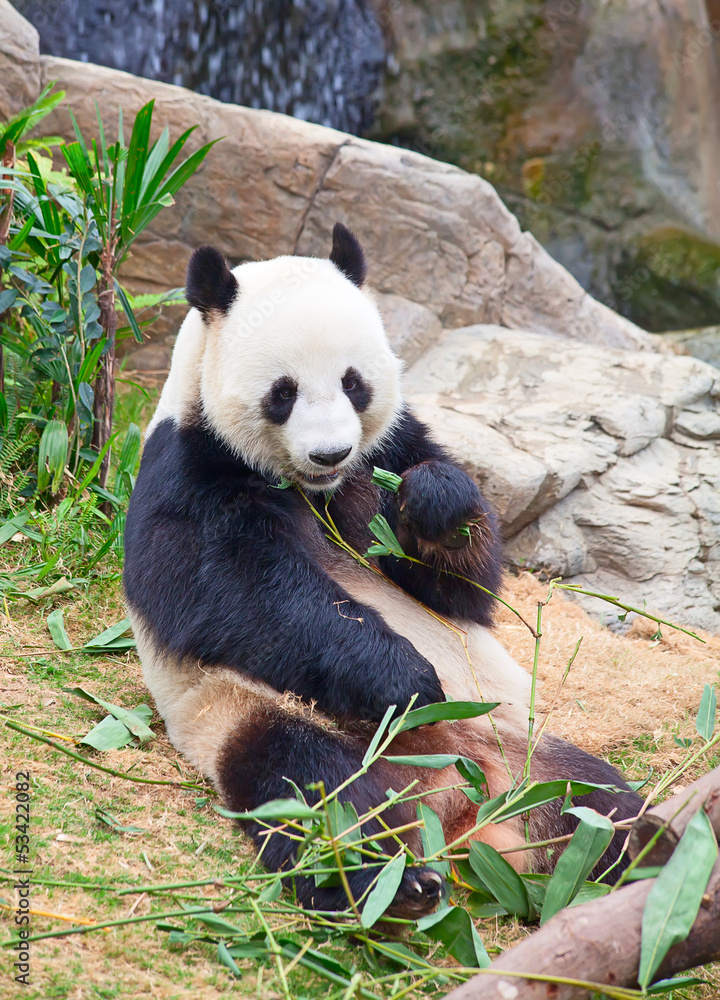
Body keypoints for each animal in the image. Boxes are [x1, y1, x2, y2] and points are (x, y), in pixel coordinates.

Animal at [124, 223, 641, 919]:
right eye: (282, 393)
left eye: (353, 383)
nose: (330, 452)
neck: (312, 489)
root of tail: (458, 807)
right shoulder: (188, 468)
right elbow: (230, 592)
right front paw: (408, 681)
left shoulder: (388, 452)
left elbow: (464, 592)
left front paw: (437, 503)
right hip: (259, 715)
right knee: (317, 793)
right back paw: (400, 884)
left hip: (525, 745)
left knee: (600, 806)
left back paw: (659, 853)